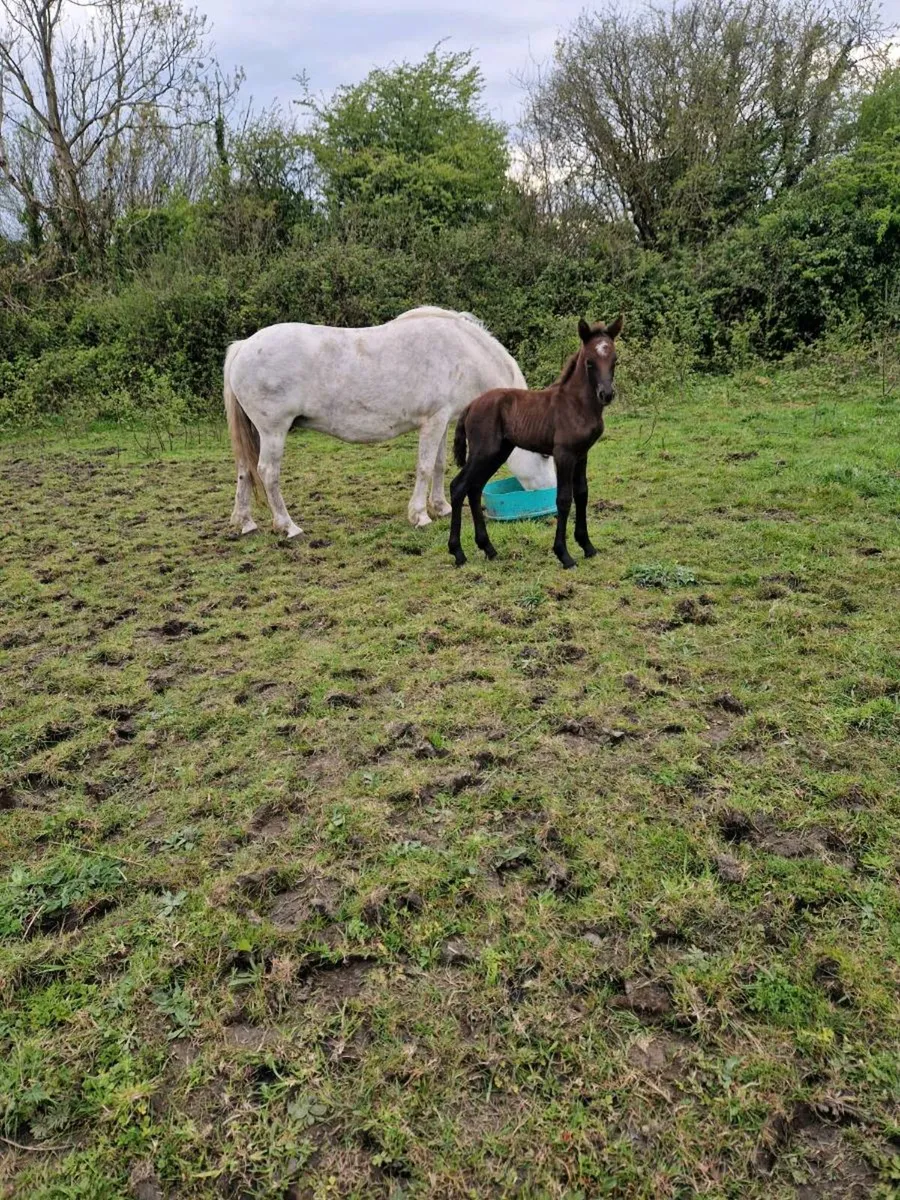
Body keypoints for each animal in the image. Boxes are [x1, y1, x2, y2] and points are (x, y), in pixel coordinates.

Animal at [223, 307, 555, 538]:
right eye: (543, 454)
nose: (552, 497)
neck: (461, 354)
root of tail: (244, 346)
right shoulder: (433, 421)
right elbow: (424, 467)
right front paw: (420, 515)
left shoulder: (442, 421)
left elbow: (438, 466)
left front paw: (441, 507)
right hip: (273, 432)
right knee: (267, 473)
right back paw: (288, 526)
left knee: (244, 471)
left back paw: (246, 523)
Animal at [448, 316, 622, 569]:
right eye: (590, 362)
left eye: (614, 360)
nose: (606, 394)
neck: (576, 404)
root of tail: (471, 405)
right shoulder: (564, 454)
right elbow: (564, 498)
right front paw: (564, 555)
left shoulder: (582, 454)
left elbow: (582, 493)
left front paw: (587, 546)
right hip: (483, 452)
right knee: (458, 487)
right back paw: (458, 553)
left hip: (498, 453)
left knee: (475, 488)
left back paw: (488, 548)